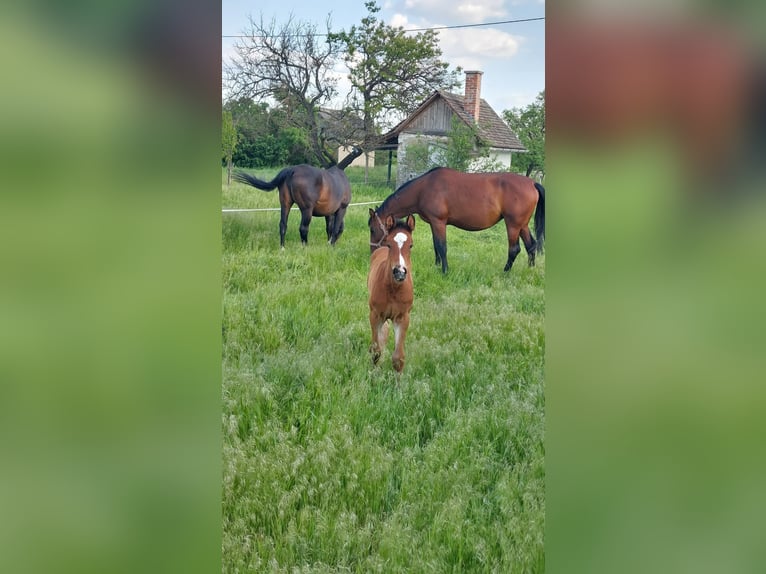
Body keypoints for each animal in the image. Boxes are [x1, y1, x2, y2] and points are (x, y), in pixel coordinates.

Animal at [367, 215, 416, 373]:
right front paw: (373, 375)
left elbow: (398, 358)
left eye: (411, 245)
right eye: (389, 245)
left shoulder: (402, 317)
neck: (394, 289)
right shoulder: (375, 315)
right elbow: (375, 350)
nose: (399, 272)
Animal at [369, 167, 545, 274]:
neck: (424, 189)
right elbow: (436, 246)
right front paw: (437, 265)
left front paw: (445, 270)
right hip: (522, 225)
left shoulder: (439, 222)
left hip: (513, 225)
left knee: (514, 249)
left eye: (372, 229)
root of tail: (532, 183)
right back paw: (530, 269)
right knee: (531, 245)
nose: (372, 252)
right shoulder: (434, 223)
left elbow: (442, 246)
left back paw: (505, 272)